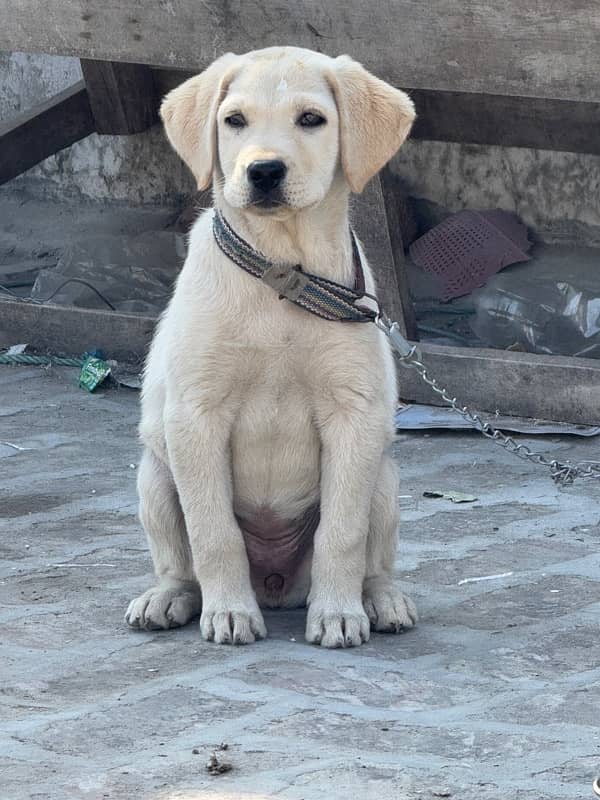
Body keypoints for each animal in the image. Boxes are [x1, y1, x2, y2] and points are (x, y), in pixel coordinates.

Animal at [126, 43, 418, 648]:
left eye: (311, 119)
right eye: (234, 120)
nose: (262, 170)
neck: (283, 273)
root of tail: (277, 584)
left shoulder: (353, 416)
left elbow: (341, 534)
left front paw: (337, 613)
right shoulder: (195, 415)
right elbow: (213, 533)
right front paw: (229, 611)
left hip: (382, 475)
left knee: (373, 559)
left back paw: (380, 599)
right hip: (156, 475)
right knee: (180, 562)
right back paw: (170, 597)